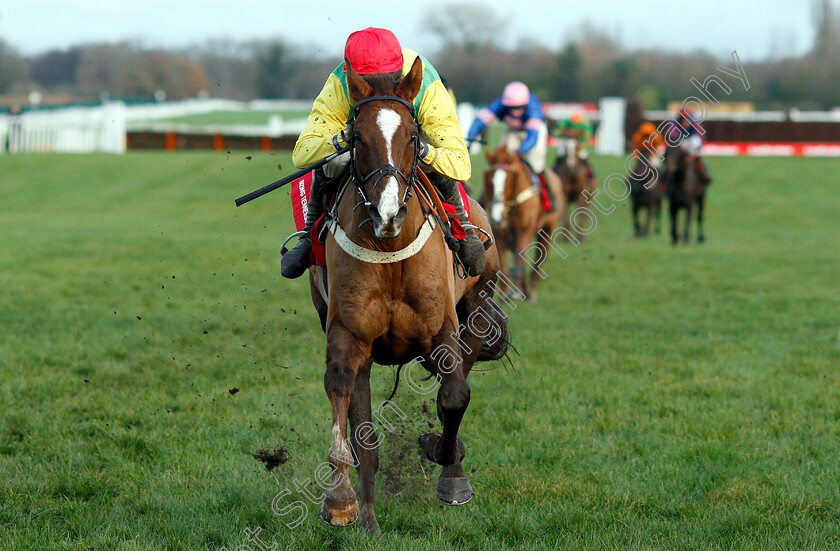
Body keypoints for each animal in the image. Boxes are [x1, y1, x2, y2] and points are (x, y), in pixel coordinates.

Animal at [306, 58, 508, 532]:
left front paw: (447, 465)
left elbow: (454, 397)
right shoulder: (348, 334)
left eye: (413, 138)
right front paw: (344, 503)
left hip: (476, 303)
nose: (389, 214)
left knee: (462, 373)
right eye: (356, 138)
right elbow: (345, 400)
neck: (389, 252)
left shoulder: (442, 332)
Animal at [480, 146, 564, 302]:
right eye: (489, 181)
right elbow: (505, 265)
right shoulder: (499, 234)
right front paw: (503, 296)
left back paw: (531, 293)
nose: (497, 215)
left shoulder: (524, 231)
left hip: (547, 231)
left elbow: (520, 260)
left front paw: (516, 292)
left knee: (538, 262)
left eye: (508, 180)